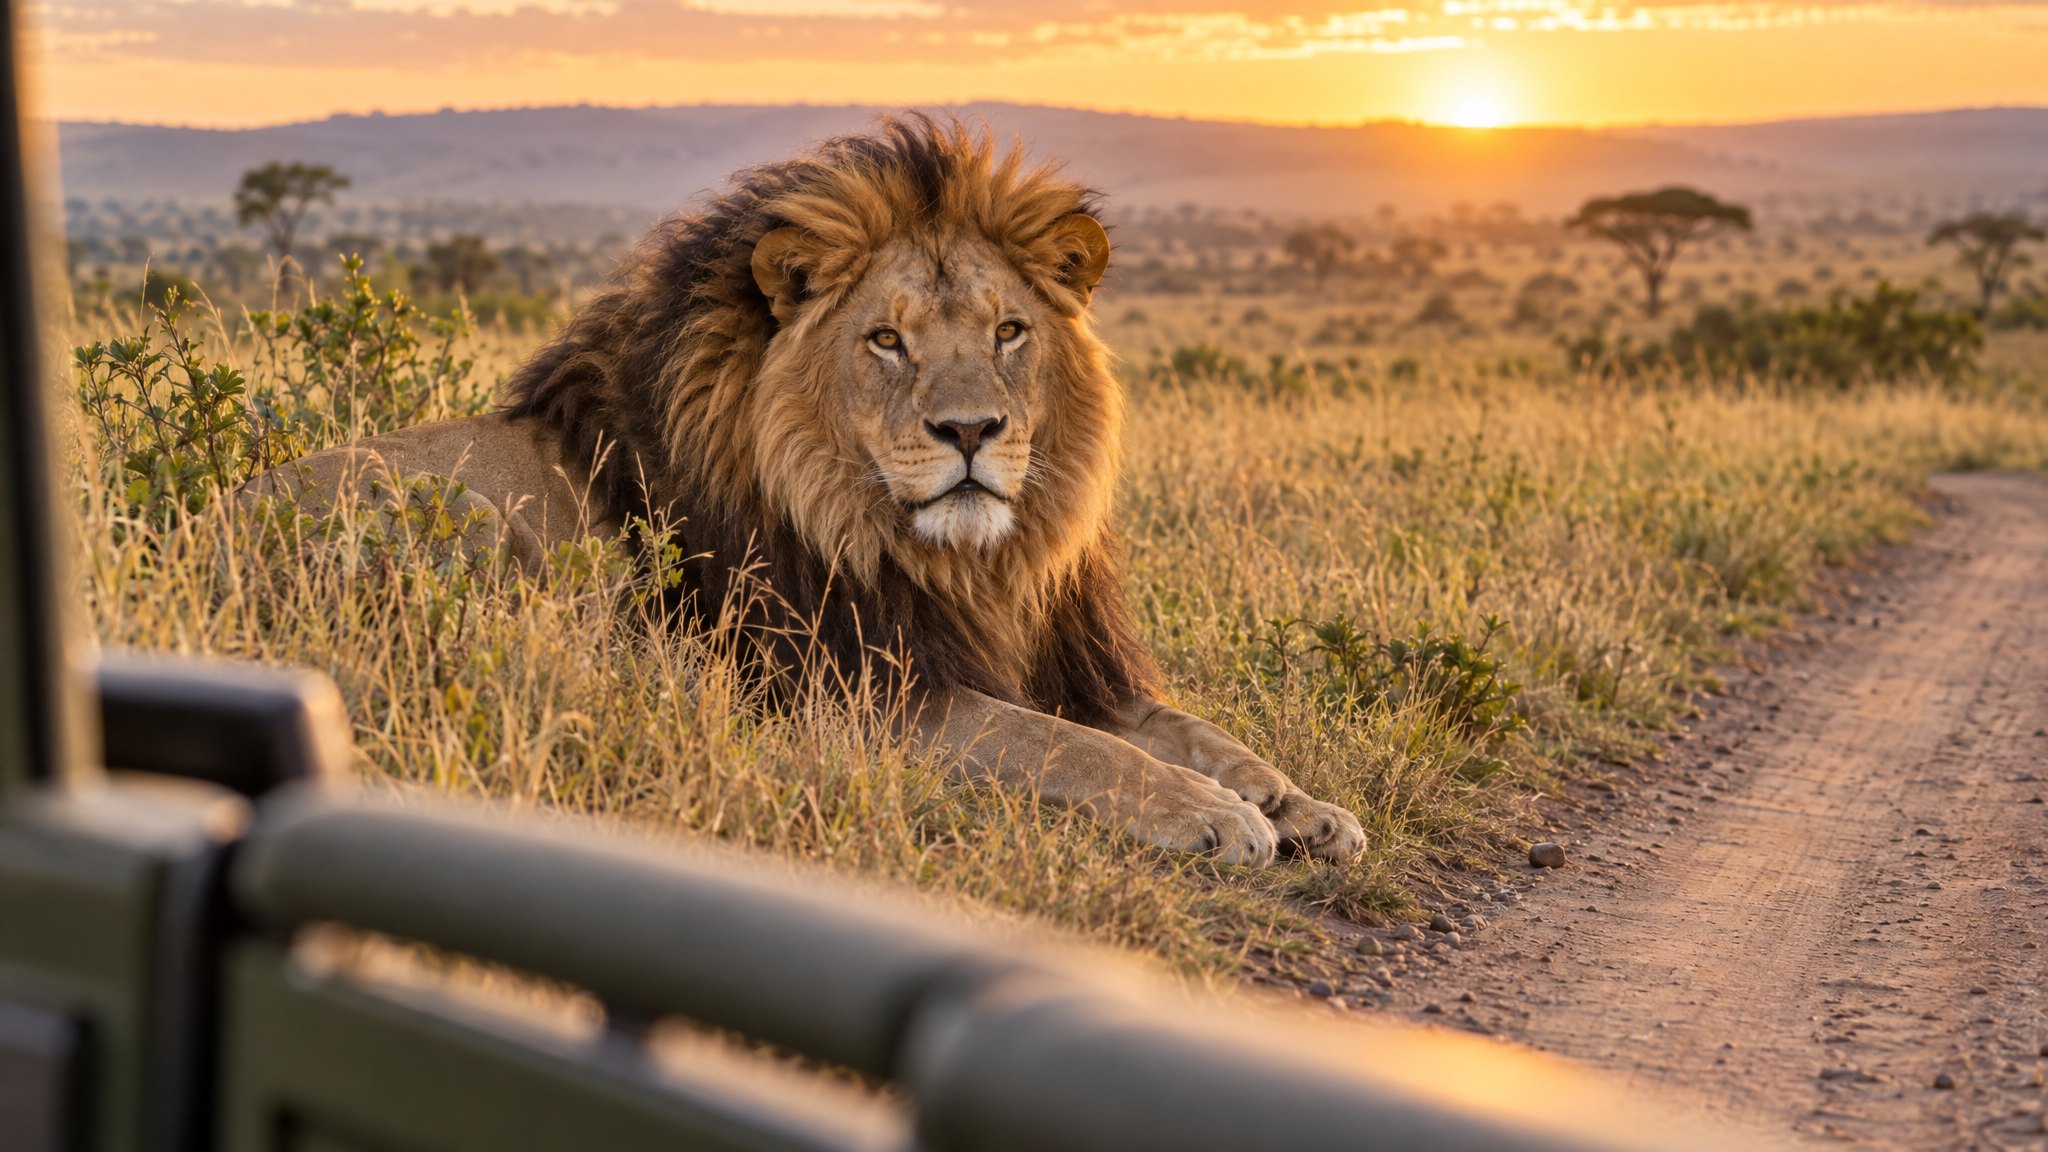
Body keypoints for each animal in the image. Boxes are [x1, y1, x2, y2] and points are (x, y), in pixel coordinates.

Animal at [245, 116, 1364, 865]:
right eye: (887, 340)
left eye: (1009, 331)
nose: (970, 432)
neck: (954, 562)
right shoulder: (854, 694)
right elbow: (1065, 749)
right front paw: (1213, 815)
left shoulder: (1039, 655)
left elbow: (1184, 727)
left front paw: (1296, 805)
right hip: (454, 514)